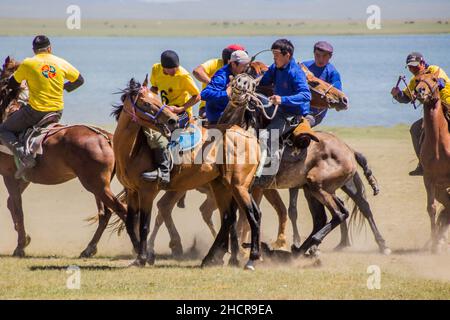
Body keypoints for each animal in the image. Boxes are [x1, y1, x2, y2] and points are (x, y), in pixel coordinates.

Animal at [0, 56, 134, 258]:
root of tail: (106, 137)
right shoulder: (22, 178)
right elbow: (12, 205)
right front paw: (26, 239)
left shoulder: (8, 176)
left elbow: (17, 208)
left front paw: (20, 245)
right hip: (99, 186)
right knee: (105, 214)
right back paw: (89, 248)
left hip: (96, 184)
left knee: (120, 210)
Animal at [110, 77, 262, 270]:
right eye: (146, 103)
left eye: (157, 100)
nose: (172, 120)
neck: (133, 150)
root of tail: (252, 139)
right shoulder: (132, 191)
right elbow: (131, 224)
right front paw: (141, 255)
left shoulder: (147, 191)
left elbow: (144, 225)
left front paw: (143, 257)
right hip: (221, 187)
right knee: (228, 218)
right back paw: (208, 258)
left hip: (238, 187)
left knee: (252, 216)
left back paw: (250, 259)